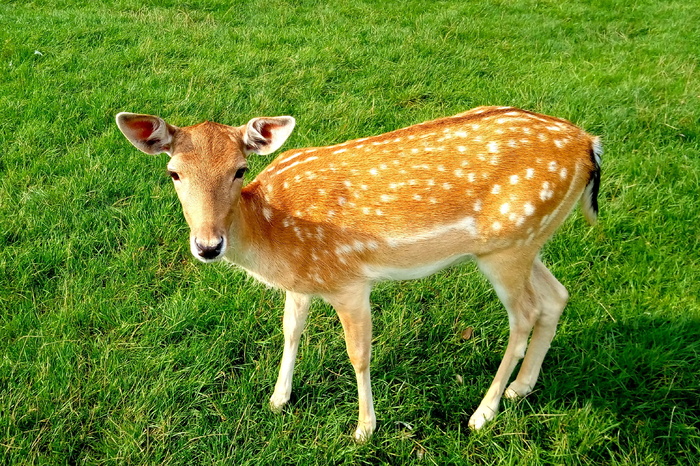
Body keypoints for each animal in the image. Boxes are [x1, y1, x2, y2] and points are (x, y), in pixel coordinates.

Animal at [116, 105, 600, 440]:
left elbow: (358, 354)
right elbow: (290, 330)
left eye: (240, 169)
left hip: (508, 247)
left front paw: (364, 429)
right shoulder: (303, 283)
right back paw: (521, 389)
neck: (273, 237)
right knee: (557, 296)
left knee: (524, 315)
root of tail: (590, 145)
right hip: (526, 241)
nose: (208, 245)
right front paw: (277, 399)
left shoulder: (348, 280)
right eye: (173, 172)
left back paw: (482, 414)